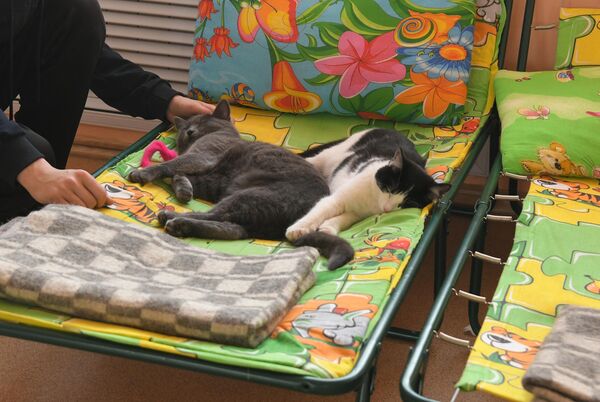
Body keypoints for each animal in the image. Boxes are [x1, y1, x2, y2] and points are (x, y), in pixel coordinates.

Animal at [126, 100, 352, 270]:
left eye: (204, 122)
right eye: (184, 129)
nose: (189, 130)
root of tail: (290, 225)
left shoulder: (202, 156)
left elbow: (171, 166)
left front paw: (141, 173)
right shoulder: (208, 177)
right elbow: (177, 174)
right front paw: (184, 190)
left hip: (250, 195)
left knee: (217, 216)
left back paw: (172, 218)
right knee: (231, 229)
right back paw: (180, 224)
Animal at [286, 130, 450, 242]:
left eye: (408, 203)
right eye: (390, 190)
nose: (387, 209)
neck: (373, 201)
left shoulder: (359, 213)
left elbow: (345, 218)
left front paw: (328, 228)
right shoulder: (337, 199)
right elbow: (320, 210)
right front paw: (298, 229)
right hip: (329, 155)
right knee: (311, 160)